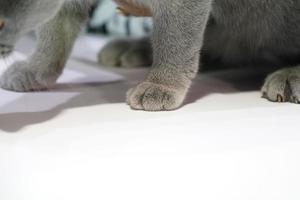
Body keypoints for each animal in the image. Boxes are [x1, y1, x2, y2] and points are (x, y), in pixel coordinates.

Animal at [0, 0, 300, 111]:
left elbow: (175, 37)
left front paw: (160, 85)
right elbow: (53, 30)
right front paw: (35, 68)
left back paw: (290, 76)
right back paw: (134, 47)